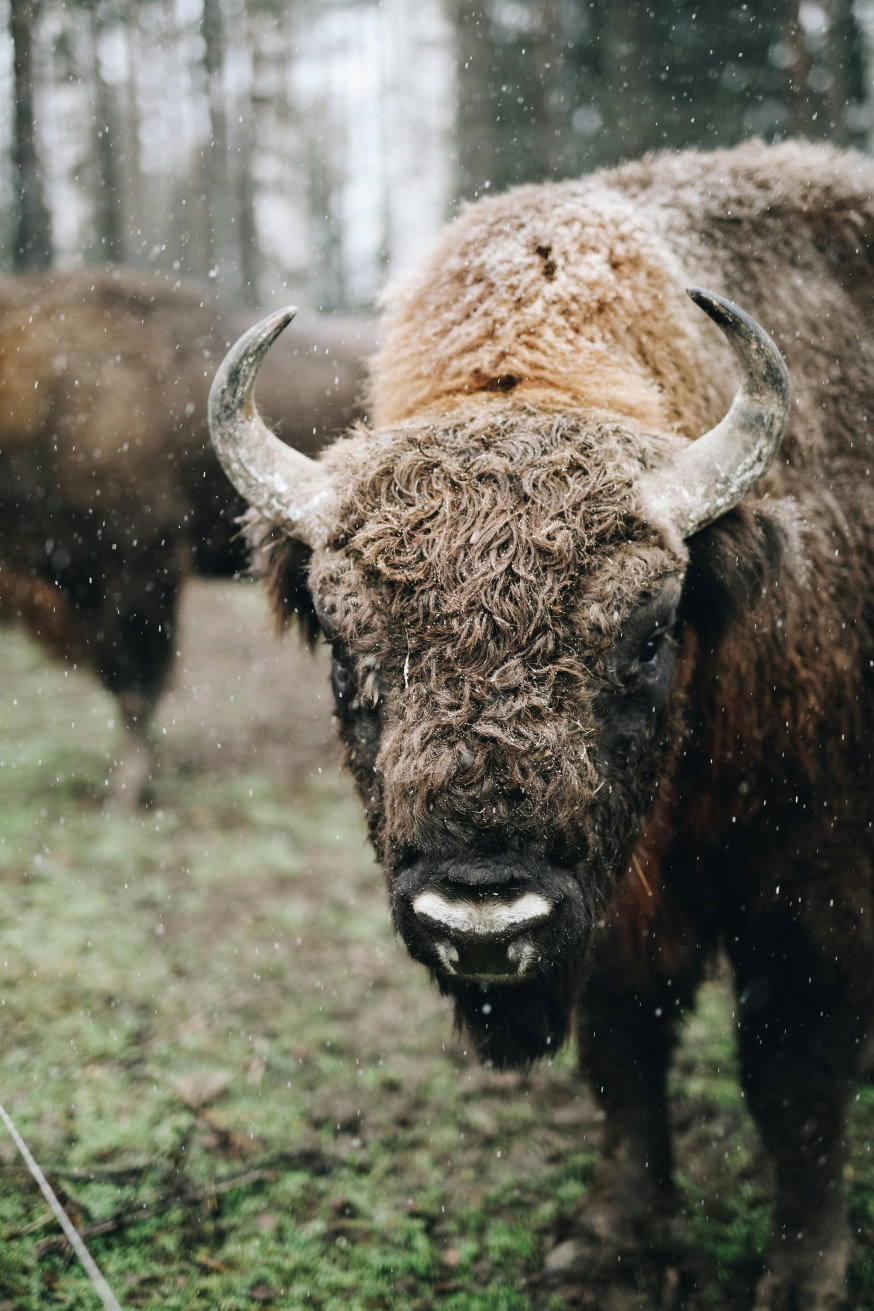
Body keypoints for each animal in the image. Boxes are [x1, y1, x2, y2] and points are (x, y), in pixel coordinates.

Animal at [208, 142, 874, 1307]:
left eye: (647, 634)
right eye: (344, 645)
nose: (481, 921)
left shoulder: (811, 879)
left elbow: (794, 1076)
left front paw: (802, 1277)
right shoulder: (613, 909)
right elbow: (622, 1049)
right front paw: (608, 1236)